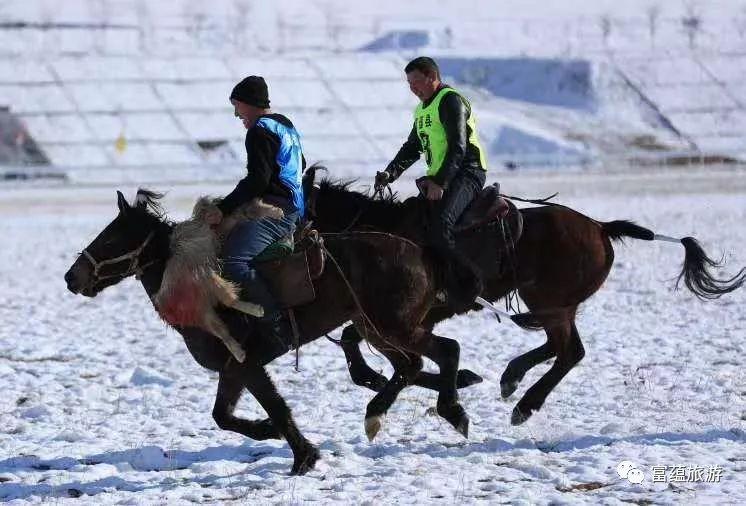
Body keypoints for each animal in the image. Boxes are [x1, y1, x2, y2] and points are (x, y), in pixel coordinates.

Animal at [64, 189, 536, 474]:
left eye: (111, 238)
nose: (72, 277)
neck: (192, 277)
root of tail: (421, 251)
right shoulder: (234, 367)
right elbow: (224, 415)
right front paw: (274, 437)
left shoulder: (249, 362)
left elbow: (272, 407)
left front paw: (303, 454)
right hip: (379, 327)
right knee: (414, 364)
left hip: (392, 326)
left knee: (441, 351)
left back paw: (443, 409)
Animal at [302, 165, 744, 422]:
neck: (382, 230)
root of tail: (600, 227)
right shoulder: (388, 318)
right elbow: (356, 344)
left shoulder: (408, 317)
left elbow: (367, 346)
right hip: (551, 304)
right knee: (560, 347)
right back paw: (512, 379)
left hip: (549, 301)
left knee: (568, 351)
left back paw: (525, 402)